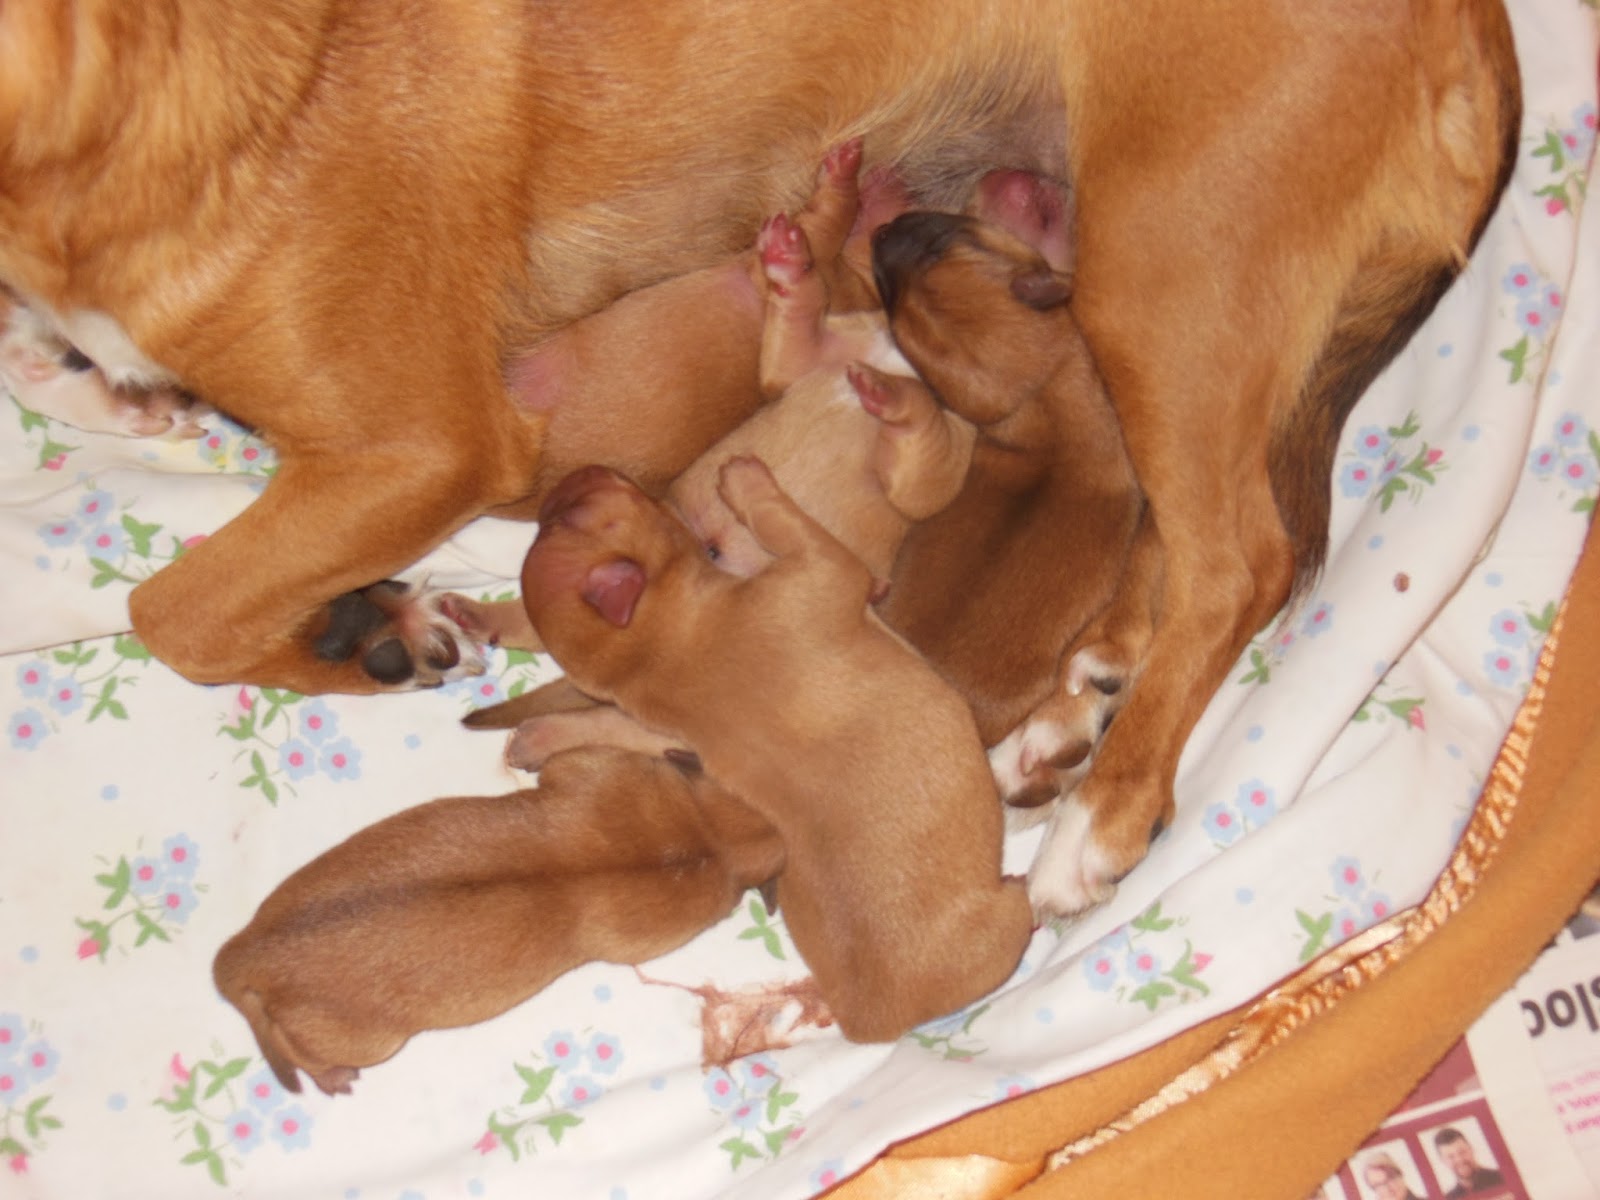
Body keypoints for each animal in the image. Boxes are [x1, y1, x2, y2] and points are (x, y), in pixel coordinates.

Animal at [1, 0, 1520, 914]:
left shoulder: (423, 442)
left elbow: (174, 611)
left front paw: (359, 630)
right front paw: (88, 383)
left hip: (1169, 274)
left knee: (1241, 554)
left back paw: (1105, 809)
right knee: (1173, 530)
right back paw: (1071, 709)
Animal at [520, 456, 1034, 1041]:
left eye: (554, 523)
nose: (565, 480)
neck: (654, 649)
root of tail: (875, 1023)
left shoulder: (666, 732)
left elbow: (606, 723)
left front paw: (542, 734)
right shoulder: (825, 565)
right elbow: (783, 520)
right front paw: (745, 481)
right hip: (1006, 918)